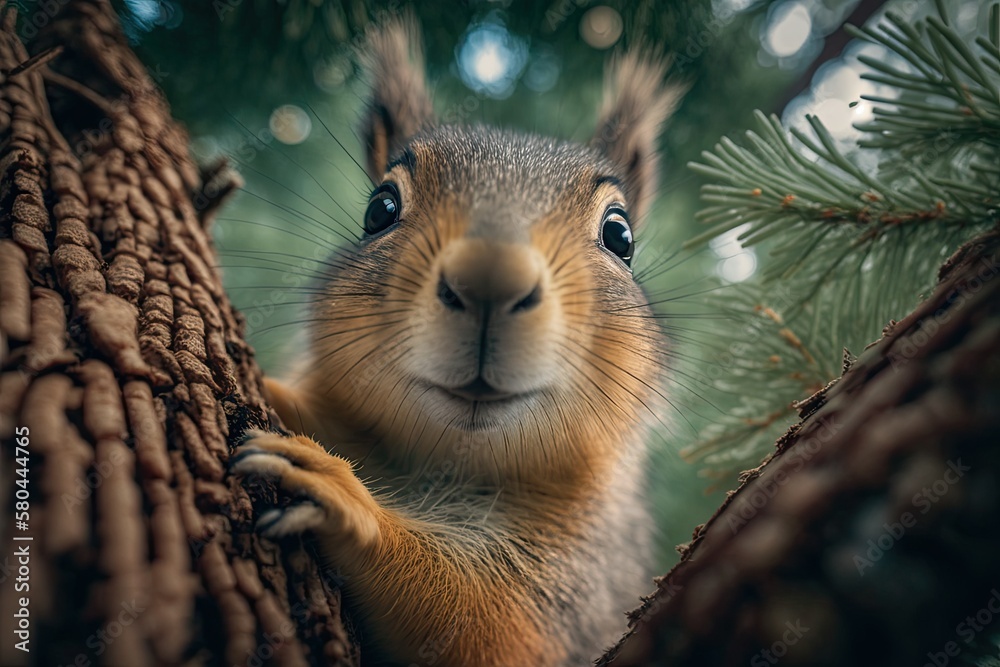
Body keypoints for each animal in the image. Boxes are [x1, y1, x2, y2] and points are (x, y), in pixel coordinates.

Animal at [229, 17, 680, 667]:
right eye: (379, 209)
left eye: (620, 236)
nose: (490, 277)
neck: (442, 461)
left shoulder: (583, 574)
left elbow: (488, 625)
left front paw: (346, 501)